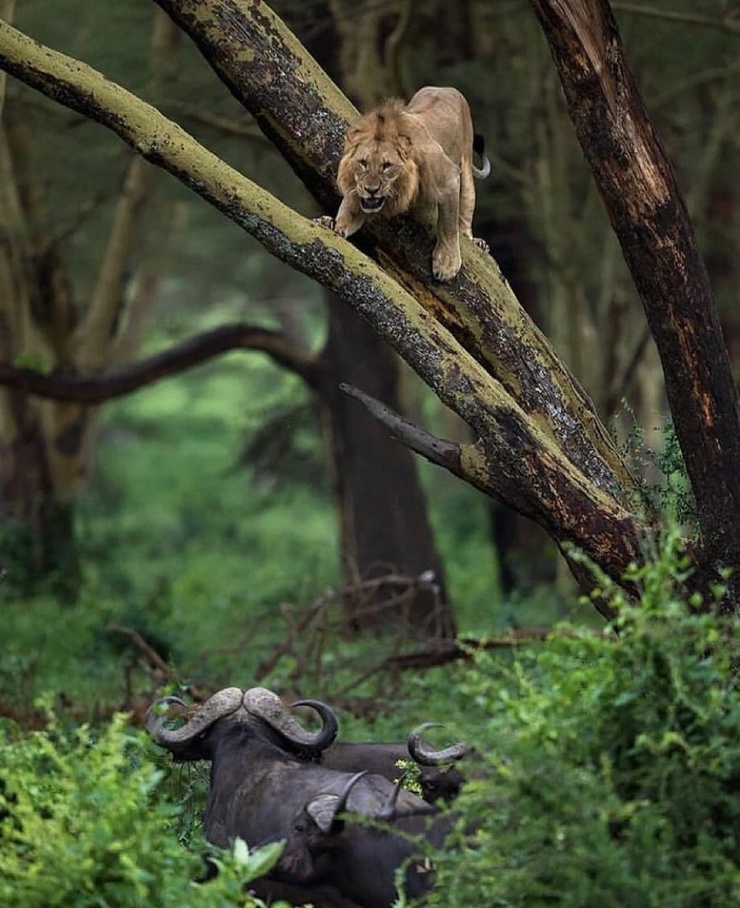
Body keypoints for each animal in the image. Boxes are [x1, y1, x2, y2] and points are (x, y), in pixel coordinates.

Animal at [318, 89, 492, 282]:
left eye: (387, 166)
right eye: (363, 163)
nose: (371, 190)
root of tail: (447, 88)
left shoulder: (449, 180)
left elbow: (449, 225)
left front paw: (447, 264)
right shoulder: (358, 193)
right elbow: (348, 213)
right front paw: (333, 224)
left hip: (467, 163)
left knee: (465, 213)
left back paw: (474, 240)